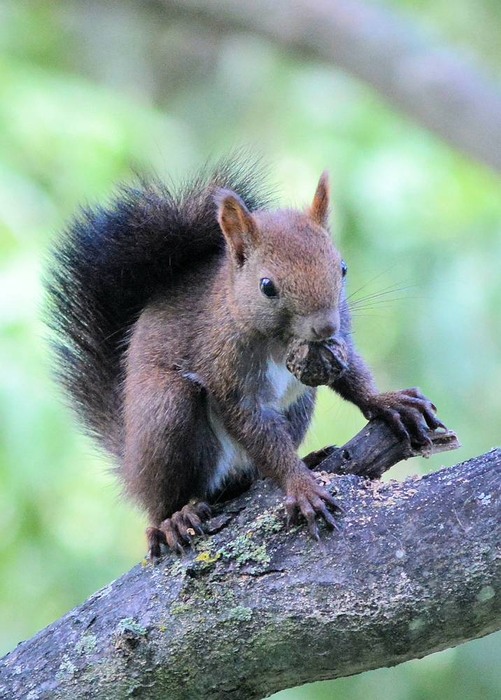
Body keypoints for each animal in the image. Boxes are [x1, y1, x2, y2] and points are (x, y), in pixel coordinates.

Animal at [47, 157, 444, 556]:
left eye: (342, 268)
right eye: (267, 286)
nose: (324, 328)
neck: (279, 341)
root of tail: (130, 462)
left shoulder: (340, 342)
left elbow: (352, 376)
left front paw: (389, 403)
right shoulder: (228, 372)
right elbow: (256, 428)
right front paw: (302, 487)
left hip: (298, 404)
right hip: (166, 411)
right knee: (164, 499)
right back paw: (174, 518)